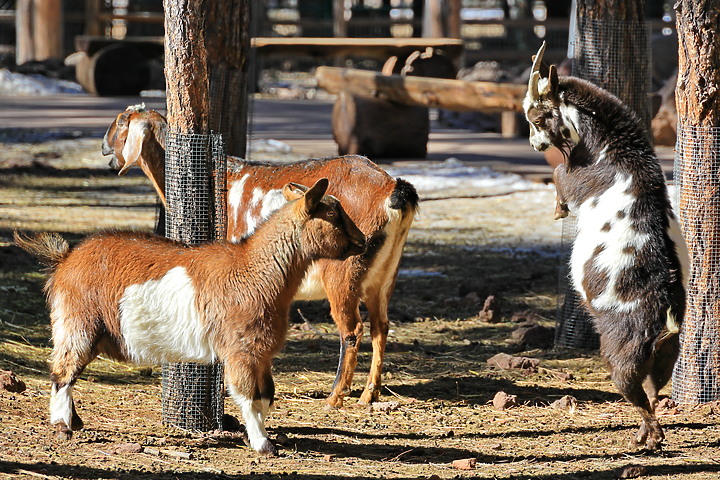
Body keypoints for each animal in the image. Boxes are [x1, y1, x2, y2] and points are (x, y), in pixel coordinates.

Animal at [100, 104, 416, 404]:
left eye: (121, 121)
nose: (104, 146)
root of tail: (392, 189)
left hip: (344, 272)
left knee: (352, 330)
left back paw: (336, 395)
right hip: (384, 274)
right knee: (381, 326)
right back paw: (369, 394)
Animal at [524, 42, 688, 450]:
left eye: (539, 117)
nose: (535, 145)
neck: (614, 150)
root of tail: (665, 314)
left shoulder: (573, 179)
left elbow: (559, 175)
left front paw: (557, 209)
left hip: (621, 350)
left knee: (635, 391)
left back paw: (647, 438)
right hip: (666, 354)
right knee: (655, 391)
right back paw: (649, 435)